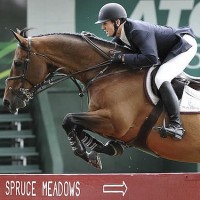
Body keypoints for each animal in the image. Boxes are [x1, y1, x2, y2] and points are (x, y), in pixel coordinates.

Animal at [2, 28, 200, 169]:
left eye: (17, 63)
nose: (7, 101)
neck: (107, 72)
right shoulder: (107, 123)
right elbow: (75, 125)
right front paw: (106, 149)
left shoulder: (114, 122)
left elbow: (68, 119)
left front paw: (86, 154)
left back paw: (174, 130)